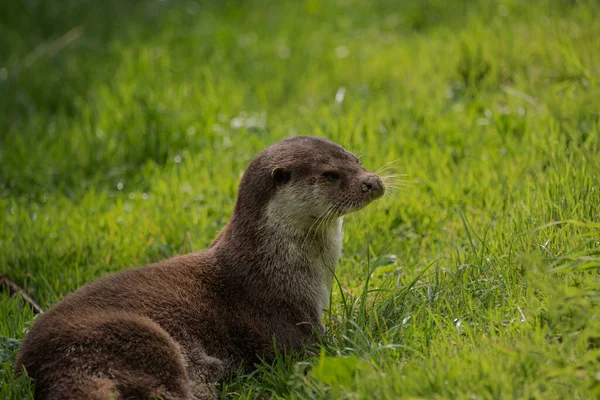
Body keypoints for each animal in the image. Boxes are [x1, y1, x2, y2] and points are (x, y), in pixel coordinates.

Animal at [16, 136, 384, 398]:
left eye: (357, 160)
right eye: (331, 174)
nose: (374, 181)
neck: (274, 266)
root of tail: (39, 361)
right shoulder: (281, 315)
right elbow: (319, 349)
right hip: (135, 334)